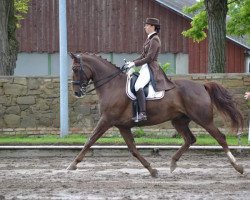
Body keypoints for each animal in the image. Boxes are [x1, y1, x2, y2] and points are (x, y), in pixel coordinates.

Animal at [67, 52, 243, 177]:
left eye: (75, 69)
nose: (76, 92)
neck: (111, 85)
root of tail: (202, 86)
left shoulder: (106, 120)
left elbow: (89, 141)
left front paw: (72, 165)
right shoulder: (123, 126)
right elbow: (133, 150)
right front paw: (152, 170)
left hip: (203, 119)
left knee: (220, 137)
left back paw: (238, 167)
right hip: (179, 121)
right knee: (190, 139)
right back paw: (172, 163)